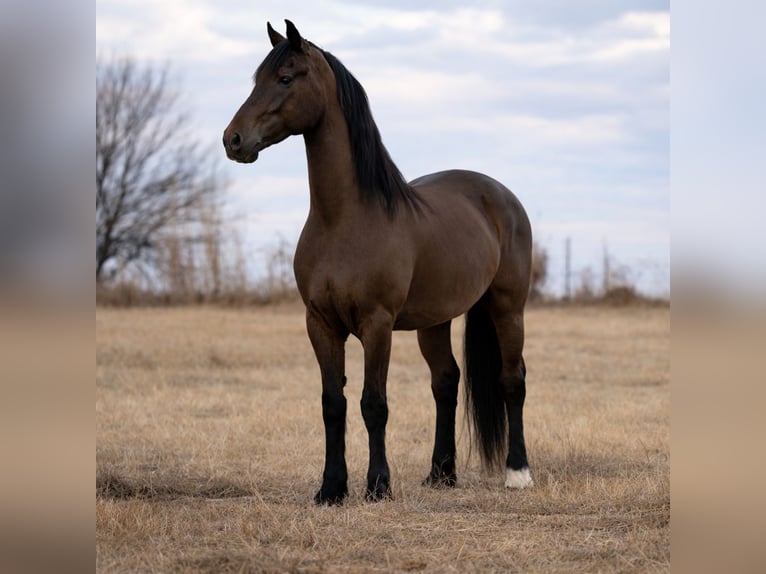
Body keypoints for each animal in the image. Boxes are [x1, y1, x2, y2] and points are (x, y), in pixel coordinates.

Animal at [223, 20, 534, 504]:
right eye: (257, 80)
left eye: (286, 78)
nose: (233, 140)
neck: (343, 219)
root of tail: (501, 196)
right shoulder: (320, 324)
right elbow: (333, 404)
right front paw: (331, 488)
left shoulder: (377, 323)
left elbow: (374, 403)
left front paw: (377, 486)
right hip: (434, 321)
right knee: (445, 382)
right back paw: (440, 473)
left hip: (507, 307)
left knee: (511, 379)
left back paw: (517, 473)